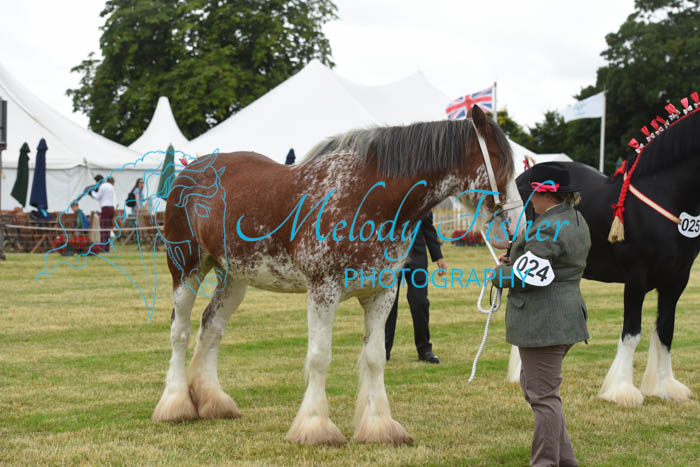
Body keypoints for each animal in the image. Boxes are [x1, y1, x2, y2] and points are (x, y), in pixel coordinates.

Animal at [152, 105, 519, 445]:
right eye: (499, 159)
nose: (515, 226)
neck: (366, 196)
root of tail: (189, 173)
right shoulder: (322, 290)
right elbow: (319, 358)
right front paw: (315, 428)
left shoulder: (381, 293)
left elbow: (374, 358)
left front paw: (380, 427)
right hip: (186, 270)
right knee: (180, 331)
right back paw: (175, 405)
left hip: (233, 278)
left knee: (211, 328)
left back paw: (213, 401)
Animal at [507, 102, 700, 406]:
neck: (666, 193)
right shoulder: (636, 278)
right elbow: (632, 333)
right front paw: (621, 390)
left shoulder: (677, 279)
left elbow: (666, 330)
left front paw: (666, 386)